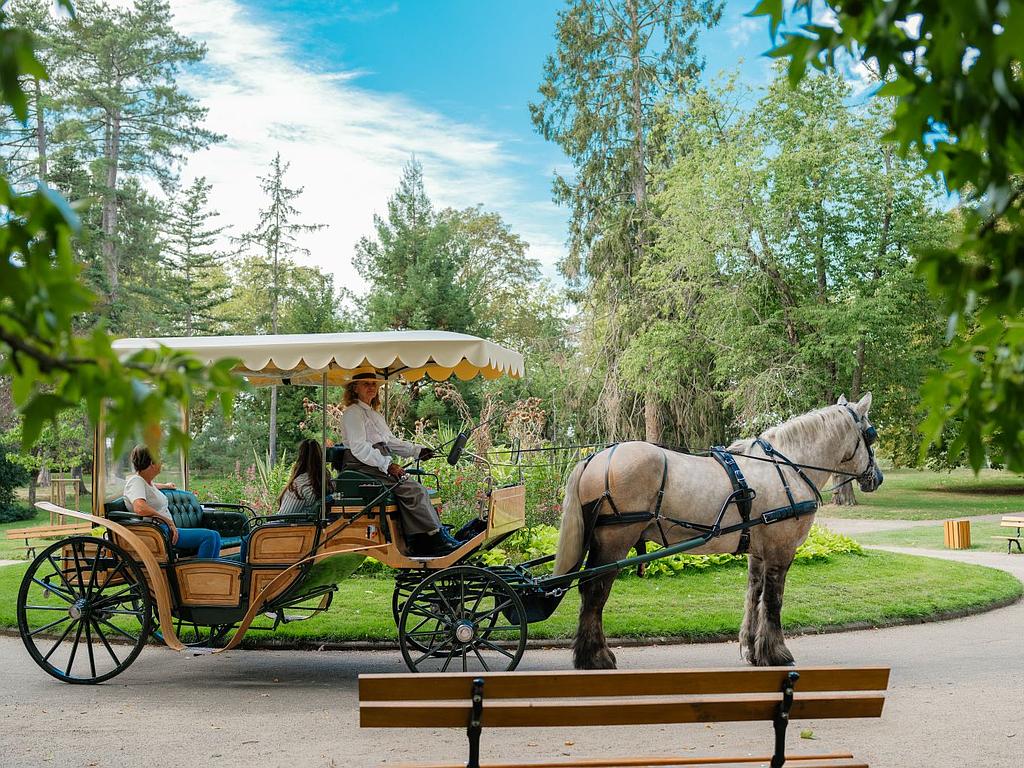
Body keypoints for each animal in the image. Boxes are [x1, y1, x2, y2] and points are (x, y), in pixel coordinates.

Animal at [557, 393, 884, 671]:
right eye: (871, 434)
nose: (877, 478)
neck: (787, 468)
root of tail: (596, 457)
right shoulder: (781, 550)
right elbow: (773, 600)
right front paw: (777, 653)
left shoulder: (758, 552)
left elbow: (754, 595)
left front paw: (753, 650)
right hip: (615, 541)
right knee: (595, 592)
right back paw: (595, 656)